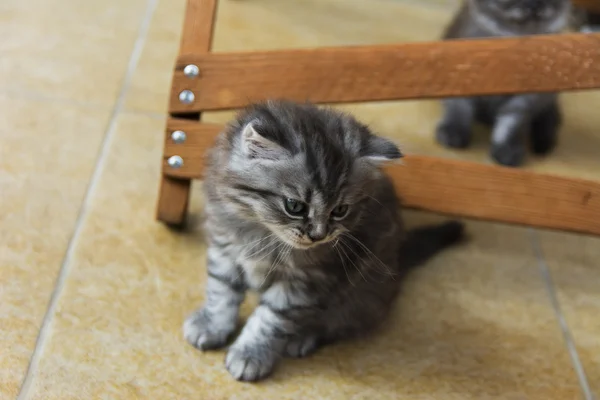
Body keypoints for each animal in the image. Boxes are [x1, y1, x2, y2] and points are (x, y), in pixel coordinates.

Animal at [183, 100, 464, 382]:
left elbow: (269, 319)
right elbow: (221, 292)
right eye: (294, 206)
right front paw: (212, 326)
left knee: (337, 323)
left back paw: (302, 337)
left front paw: (250, 354)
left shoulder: (306, 280)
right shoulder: (224, 250)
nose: (319, 235)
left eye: (339, 210)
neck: (263, 234)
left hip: (359, 296)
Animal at [436, 0, 572, 166]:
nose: (533, 6)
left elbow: (511, 124)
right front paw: (453, 131)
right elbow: (459, 109)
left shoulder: (525, 100)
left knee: (549, 119)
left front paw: (507, 150)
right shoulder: (459, 79)